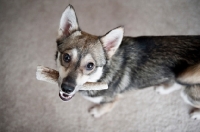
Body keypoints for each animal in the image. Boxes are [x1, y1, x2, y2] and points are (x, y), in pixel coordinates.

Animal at [54, 4, 200, 118]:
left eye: (90, 65)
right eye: (66, 57)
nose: (67, 88)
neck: (103, 75)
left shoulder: (114, 98)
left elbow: (106, 106)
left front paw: (97, 112)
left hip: (191, 92)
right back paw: (164, 89)